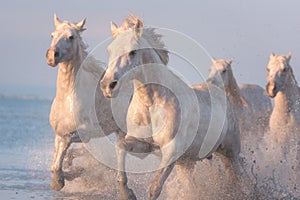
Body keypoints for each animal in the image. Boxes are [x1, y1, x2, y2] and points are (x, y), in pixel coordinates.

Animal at [45, 14, 126, 191]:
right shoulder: (59, 132)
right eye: (52, 35)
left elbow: (66, 144)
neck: (67, 97)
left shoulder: (85, 132)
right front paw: (63, 173)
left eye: (71, 37)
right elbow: (57, 158)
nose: (52, 55)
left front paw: (60, 179)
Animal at [99, 16, 240, 200]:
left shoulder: (171, 151)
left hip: (231, 154)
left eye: (133, 52)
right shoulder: (143, 145)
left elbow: (155, 188)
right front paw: (127, 194)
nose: (107, 85)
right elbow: (121, 148)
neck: (151, 104)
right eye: (109, 51)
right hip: (186, 163)